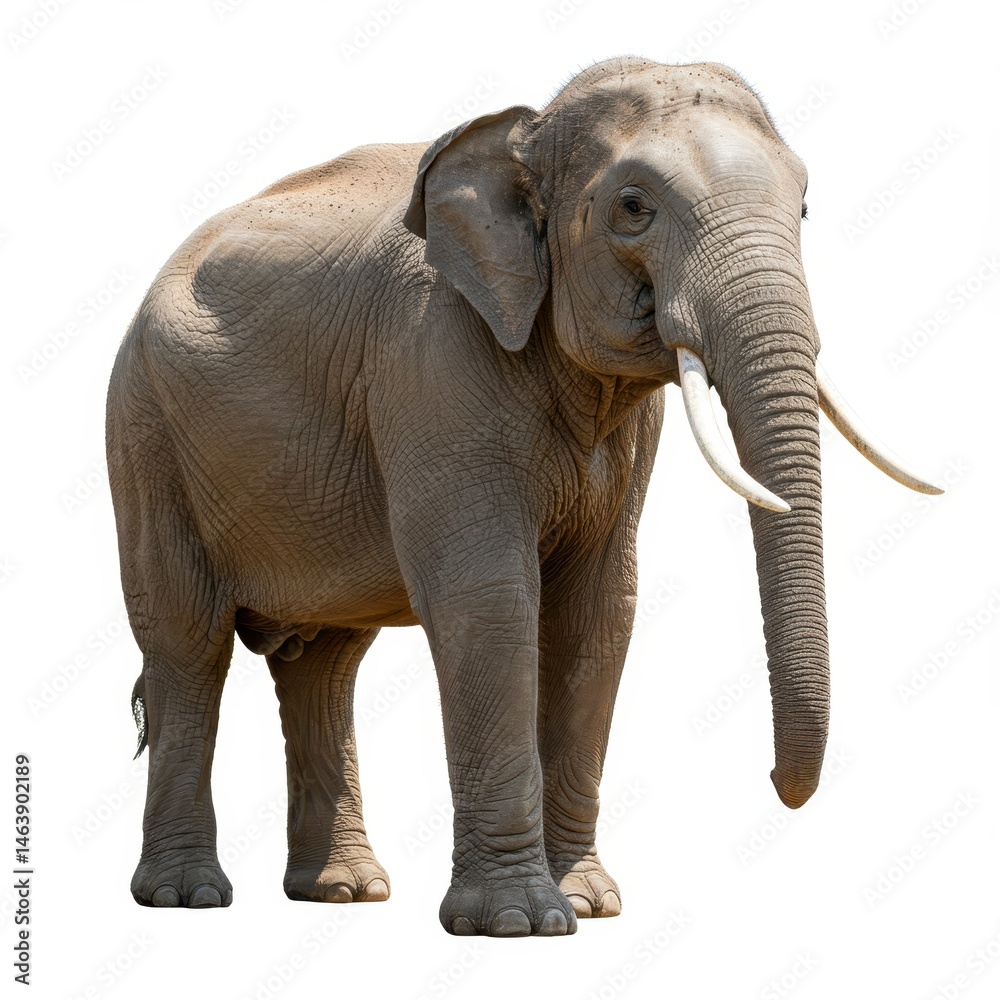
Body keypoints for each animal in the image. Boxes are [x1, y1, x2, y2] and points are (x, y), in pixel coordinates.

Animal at [106, 55, 940, 936]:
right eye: (633, 207)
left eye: (805, 205)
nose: (782, 787)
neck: (528, 130)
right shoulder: (432, 358)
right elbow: (490, 598)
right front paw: (517, 923)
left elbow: (598, 611)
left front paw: (589, 905)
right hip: (146, 433)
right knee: (188, 642)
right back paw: (187, 897)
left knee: (324, 664)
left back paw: (344, 892)